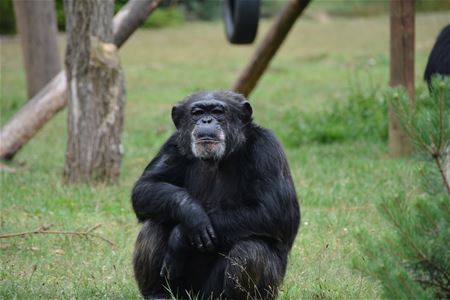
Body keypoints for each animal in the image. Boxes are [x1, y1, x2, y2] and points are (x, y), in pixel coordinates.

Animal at [131, 90, 298, 298]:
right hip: (182, 291)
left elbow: (273, 210)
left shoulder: (267, 148)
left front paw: (180, 236)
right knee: (153, 224)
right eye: (197, 113)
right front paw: (191, 213)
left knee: (251, 248)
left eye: (218, 112)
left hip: (213, 293)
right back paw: (157, 294)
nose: (207, 120)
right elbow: (146, 186)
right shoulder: (173, 144)